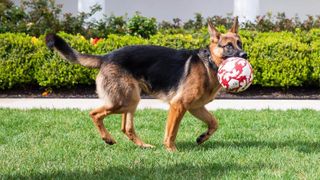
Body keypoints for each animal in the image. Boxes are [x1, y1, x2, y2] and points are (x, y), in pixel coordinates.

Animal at [45, 17, 246, 152]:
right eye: (229, 46)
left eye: (240, 43)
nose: (245, 55)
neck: (209, 63)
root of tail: (106, 57)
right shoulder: (178, 106)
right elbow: (171, 132)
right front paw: (171, 151)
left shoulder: (195, 107)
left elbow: (214, 122)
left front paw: (202, 137)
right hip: (123, 101)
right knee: (94, 114)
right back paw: (107, 139)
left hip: (131, 100)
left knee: (126, 128)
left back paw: (143, 145)